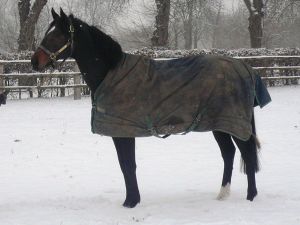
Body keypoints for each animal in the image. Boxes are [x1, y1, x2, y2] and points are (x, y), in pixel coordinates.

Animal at [31, 8, 270, 209]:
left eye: (56, 36)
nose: (34, 62)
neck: (111, 72)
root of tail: (244, 67)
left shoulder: (123, 132)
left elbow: (128, 165)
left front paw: (130, 202)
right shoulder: (122, 131)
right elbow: (126, 165)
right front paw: (131, 200)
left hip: (233, 123)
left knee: (247, 153)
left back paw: (251, 197)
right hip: (218, 124)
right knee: (229, 153)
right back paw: (222, 194)